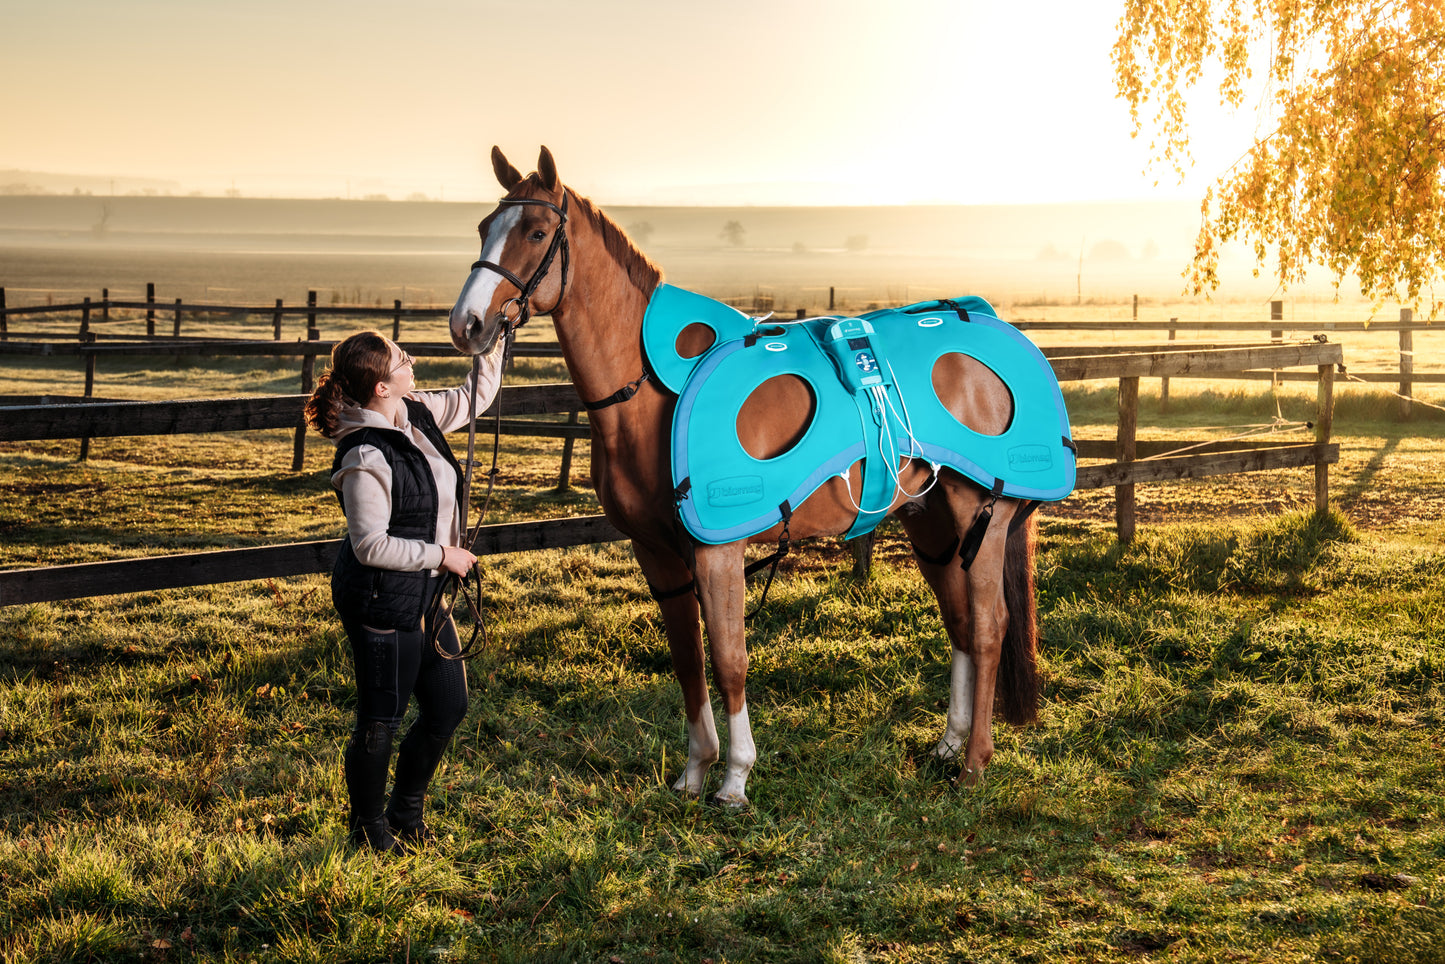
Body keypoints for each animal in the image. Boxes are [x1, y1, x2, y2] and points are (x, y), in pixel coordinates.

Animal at [448, 146, 1044, 806]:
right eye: (484, 227)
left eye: (535, 232)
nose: (467, 324)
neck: (648, 397)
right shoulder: (657, 552)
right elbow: (688, 660)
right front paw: (693, 772)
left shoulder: (718, 551)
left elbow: (730, 661)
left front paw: (734, 779)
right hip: (932, 524)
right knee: (960, 622)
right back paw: (948, 746)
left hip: (980, 516)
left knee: (988, 626)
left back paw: (974, 765)